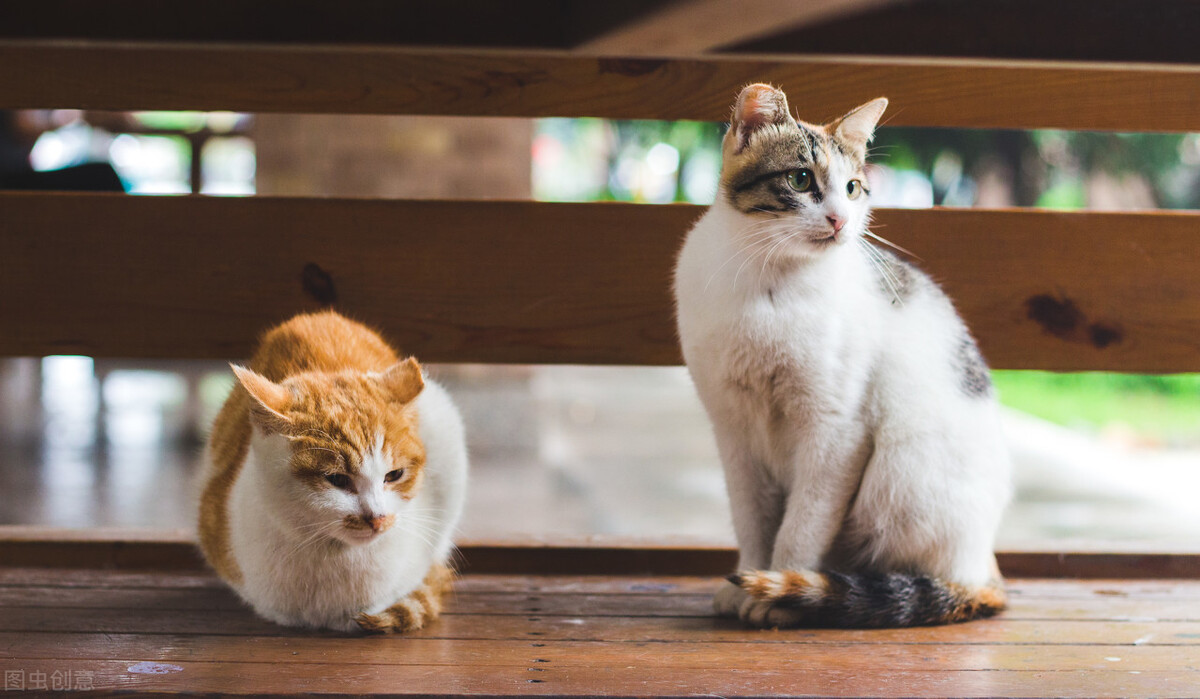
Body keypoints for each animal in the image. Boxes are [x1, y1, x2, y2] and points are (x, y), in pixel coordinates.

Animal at [681, 86, 1008, 629]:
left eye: (854, 188)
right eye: (800, 179)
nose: (839, 219)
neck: (771, 286)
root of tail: (983, 565)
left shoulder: (836, 432)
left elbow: (801, 527)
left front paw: (776, 589)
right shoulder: (732, 429)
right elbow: (752, 520)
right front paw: (747, 578)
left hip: (899, 474)